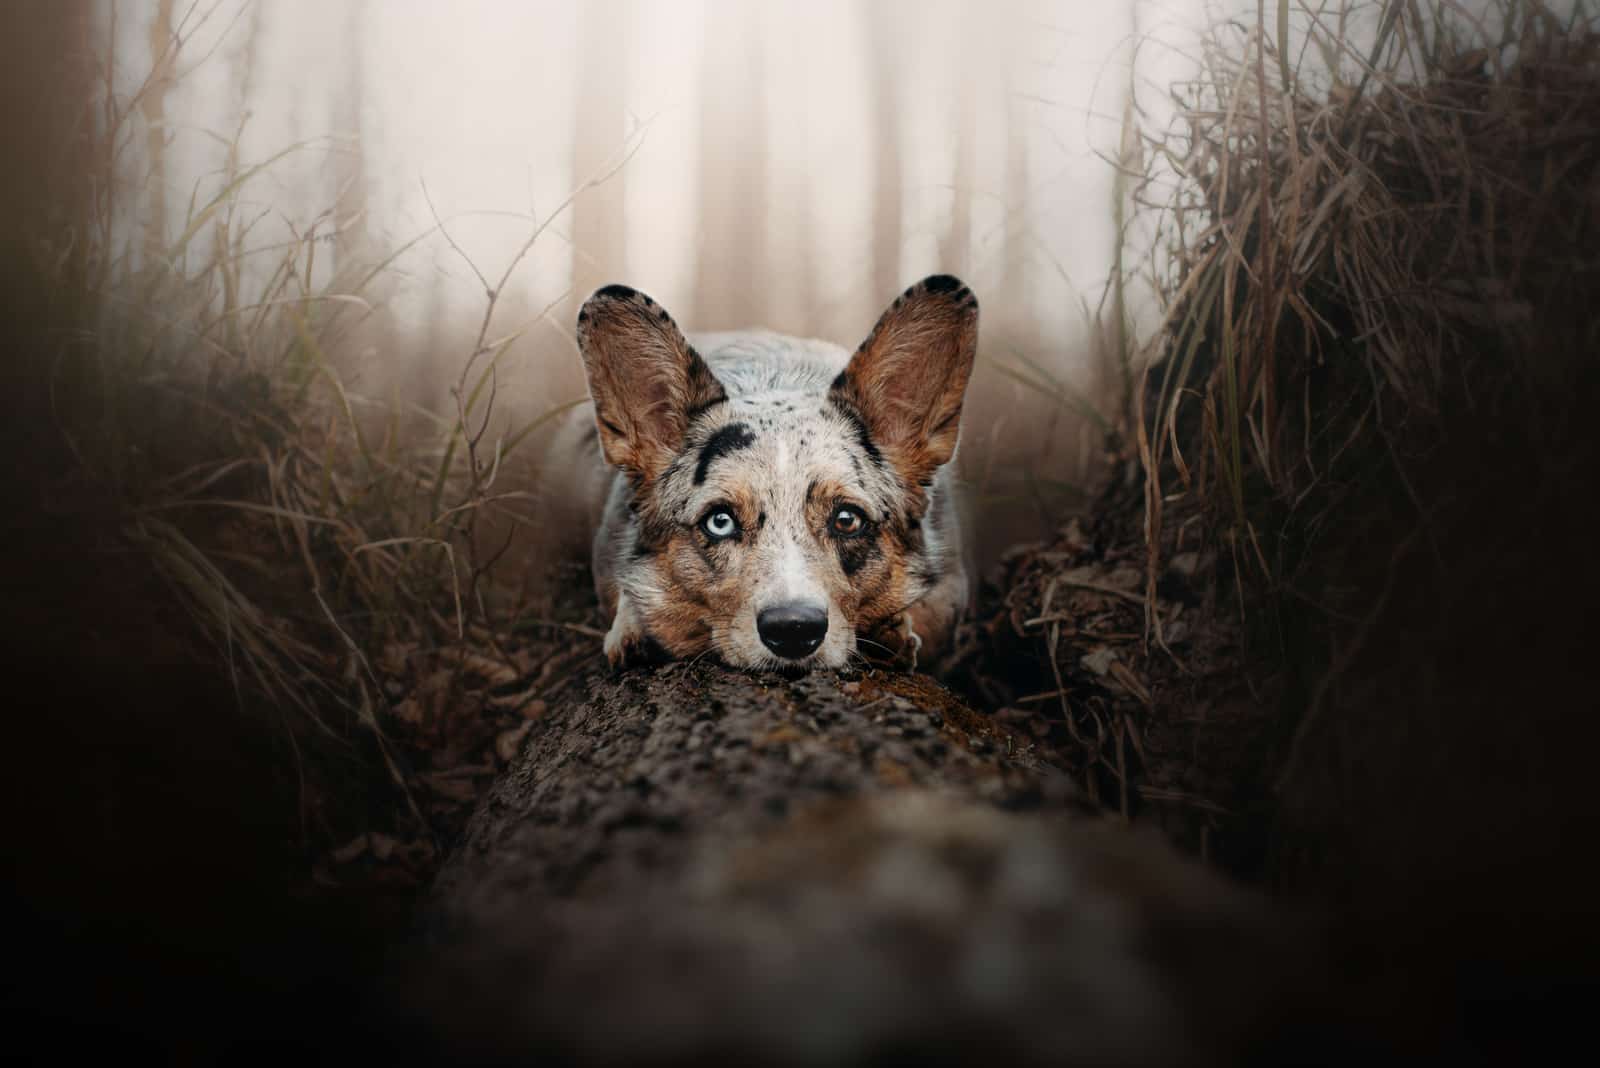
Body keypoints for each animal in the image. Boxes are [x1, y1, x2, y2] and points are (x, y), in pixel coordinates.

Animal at [556, 271, 979, 671]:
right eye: (720, 521)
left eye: (847, 520)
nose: (794, 630)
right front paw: (637, 630)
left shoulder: (949, 590)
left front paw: (890, 636)